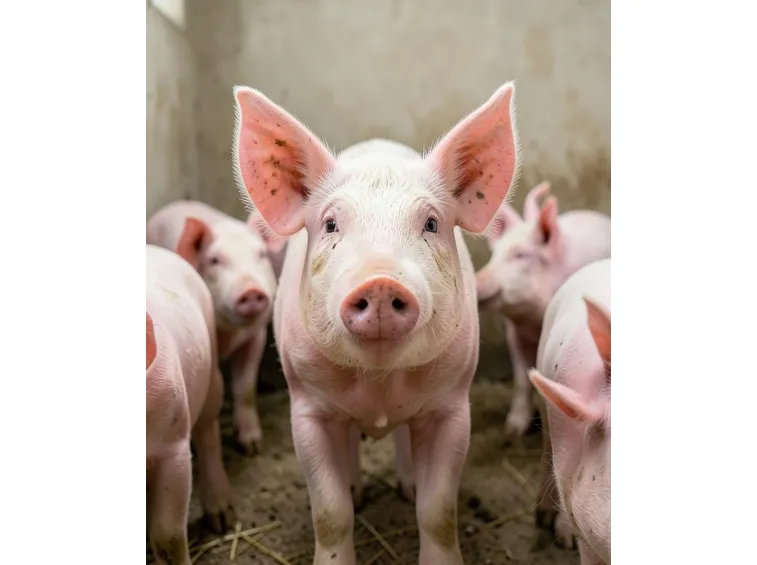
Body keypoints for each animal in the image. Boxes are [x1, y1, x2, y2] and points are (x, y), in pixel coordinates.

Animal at [147, 200, 286, 454]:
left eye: (261, 255)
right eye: (214, 260)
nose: (251, 290)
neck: (232, 331)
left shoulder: (257, 334)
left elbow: (246, 387)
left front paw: (252, 446)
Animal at [231, 82, 520, 565]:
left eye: (431, 223)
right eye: (331, 224)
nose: (382, 281)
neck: (380, 385)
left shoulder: (453, 405)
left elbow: (438, 512)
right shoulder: (306, 406)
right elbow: (330, 513)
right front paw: (344, 510)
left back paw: (406, 485)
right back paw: (357, 489)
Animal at [475, 184, 610, 439]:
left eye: (520, 255)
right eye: (494, 255)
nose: (476, 281)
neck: (532, 320)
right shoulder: (514, 335)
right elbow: (521, 380)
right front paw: (512, 431)